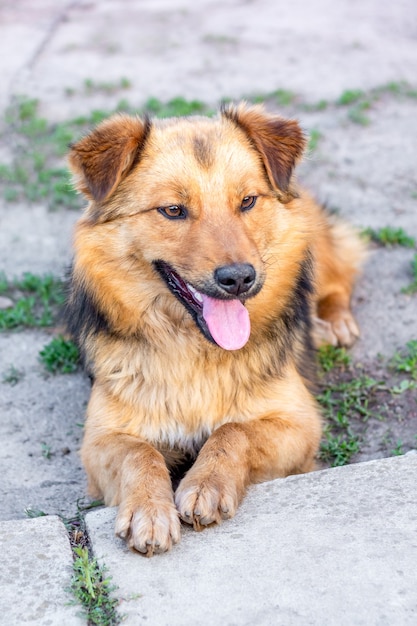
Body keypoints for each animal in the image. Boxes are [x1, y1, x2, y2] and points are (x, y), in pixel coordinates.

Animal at [66, 103, 364, 556]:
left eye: (247, 201)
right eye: (173, 210)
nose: (239, 278)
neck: (196, 348)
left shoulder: (301, 424)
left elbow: (232, 430)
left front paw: (206, 483)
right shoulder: (99, 440)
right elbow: (140, 453)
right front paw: (148, 510)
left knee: (340, 271)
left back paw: (333, 321)